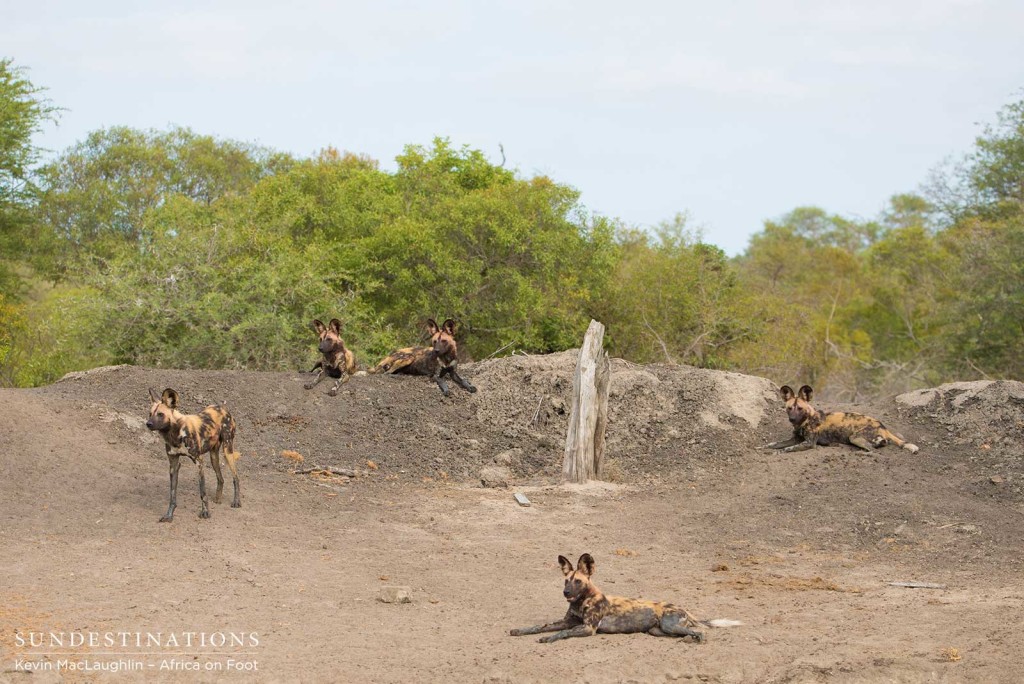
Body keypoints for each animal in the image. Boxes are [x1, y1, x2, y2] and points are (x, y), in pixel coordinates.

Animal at [145, 387, 242, 520]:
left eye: (160, 414)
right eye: (150, 414)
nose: (148, 424)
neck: (175, 434)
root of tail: (222, 407)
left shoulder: (199, 462)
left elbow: (203, 492)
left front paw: (205, 513)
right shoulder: (173, 465)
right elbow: (172, 494)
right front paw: (169, 515)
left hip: (227, 450)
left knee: (235, 477)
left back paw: (236, 501)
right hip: (213, 457)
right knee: (221, 478)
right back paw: (218, 499)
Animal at [509, 552, 737, 643]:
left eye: (578, 582)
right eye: (566, 581)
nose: (566, 593)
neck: (583, 601)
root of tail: (684, 609)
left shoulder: (587, 628)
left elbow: (562, 633)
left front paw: (549, 638)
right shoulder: (567, 622)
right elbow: (540, 626)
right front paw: (520, 631)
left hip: (670, 625)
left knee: (700, 632)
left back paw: (695, 640)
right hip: (659, 630)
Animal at [770, 385, 921, 454]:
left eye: (800, 409)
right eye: (789, 408)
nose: (792, 419)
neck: (805, 421)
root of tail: (882, 425)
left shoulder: (809, 443)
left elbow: (787, 449)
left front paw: (778, 452)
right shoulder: (795, 439)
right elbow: (776, 444)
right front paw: (768, 447)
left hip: (854, 437)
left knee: (871, 448)